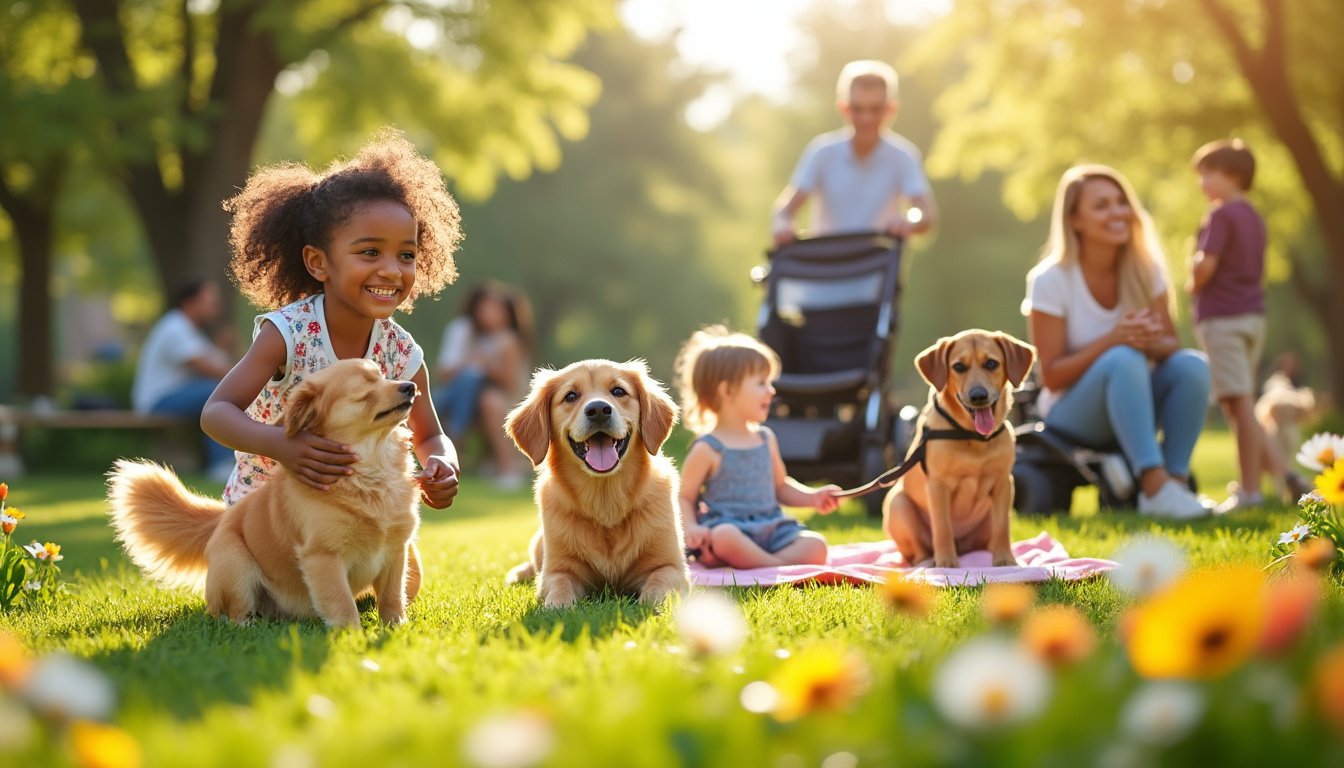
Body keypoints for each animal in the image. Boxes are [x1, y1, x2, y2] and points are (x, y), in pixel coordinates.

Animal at [106, 357, 419, 626]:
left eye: (383, 376)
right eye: (366, 391)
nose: (410, 386)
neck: (373, 469)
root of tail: (222, 519)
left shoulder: (395, 551)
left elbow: (392, 597)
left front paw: (396, 628)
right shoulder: (323, 556)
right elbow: (341, 604)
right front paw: (350, 637)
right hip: (236, 563)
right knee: (232, 614)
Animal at [505, 360, 693, 607]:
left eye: (618, 391)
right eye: (571, 396)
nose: (599, 410)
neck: (605, 501)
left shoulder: (670, 566)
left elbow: (657, 588)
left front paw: (652, 605)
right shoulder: (558, 570)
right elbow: (559, 588)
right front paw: (557, 606)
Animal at [881, 330, 1037, 570]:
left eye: (991, 363)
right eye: (958, 367)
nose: (978, 396)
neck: (973, 437)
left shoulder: (1003, 482)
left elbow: (1002, 527)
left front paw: (1005, 560)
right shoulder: (937, 485)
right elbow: (942, 527)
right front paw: (946, 562)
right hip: (899, 505)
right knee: (917, 552)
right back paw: (928, 561)